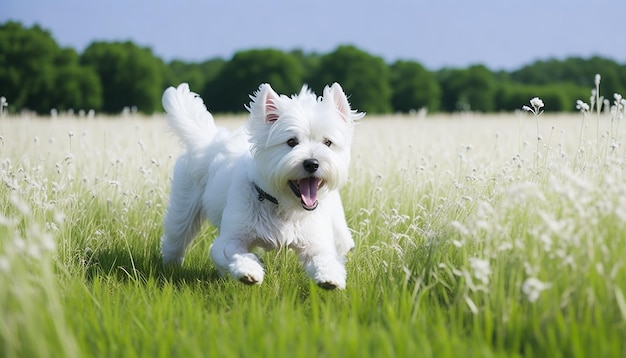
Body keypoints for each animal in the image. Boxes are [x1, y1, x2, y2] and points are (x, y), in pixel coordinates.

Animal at [158, 82, 360, 290]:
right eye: (291, 142)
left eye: (328, 142)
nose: (312, 163)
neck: (282, 205)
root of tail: (208, 140)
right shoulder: (230, 238)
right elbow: (236, 253)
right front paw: (249, 271)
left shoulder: (315, 242)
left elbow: (324, 257)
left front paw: (330, 277)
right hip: (183, 210)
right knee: (175, 238)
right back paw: (171, 266)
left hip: (339, 227)